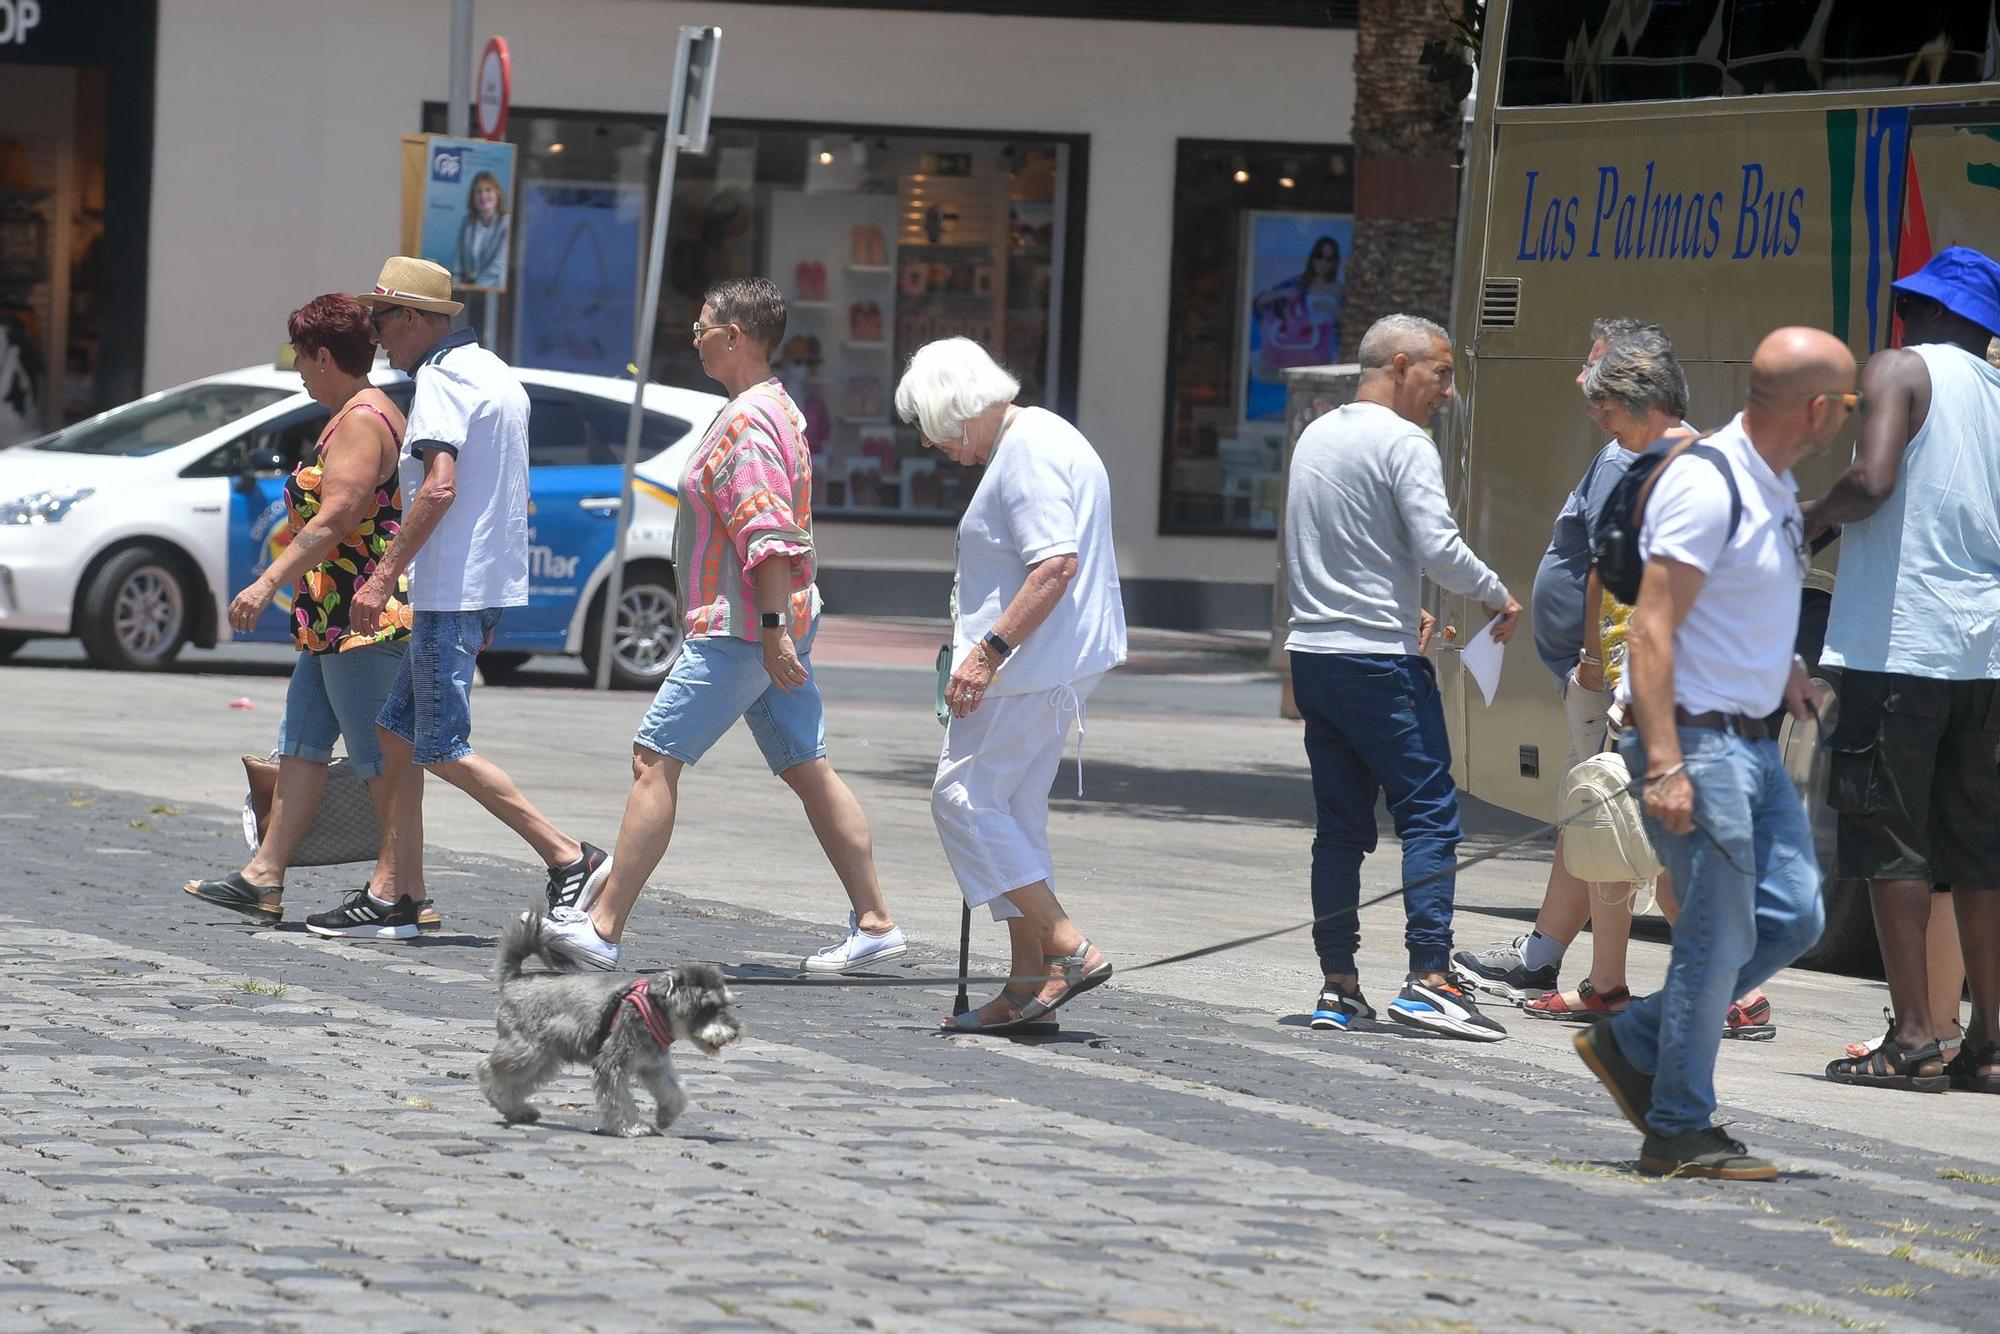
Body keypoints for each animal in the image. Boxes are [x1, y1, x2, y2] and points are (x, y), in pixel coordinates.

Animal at [476, 908, 744, 1136]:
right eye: (706, 1007)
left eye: (726, 1003)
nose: (733, 1033)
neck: (653, 1010)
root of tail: (514, 980)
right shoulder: (612, 1064)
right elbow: (619, 1100)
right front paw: (633, 1128)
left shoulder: (654, 1066)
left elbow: (674, 1091)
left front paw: (666, 1117)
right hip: (526, 1050)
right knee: (489, 1069)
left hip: (545, 1059)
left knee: (516, 1083)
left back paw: (519, 1110)